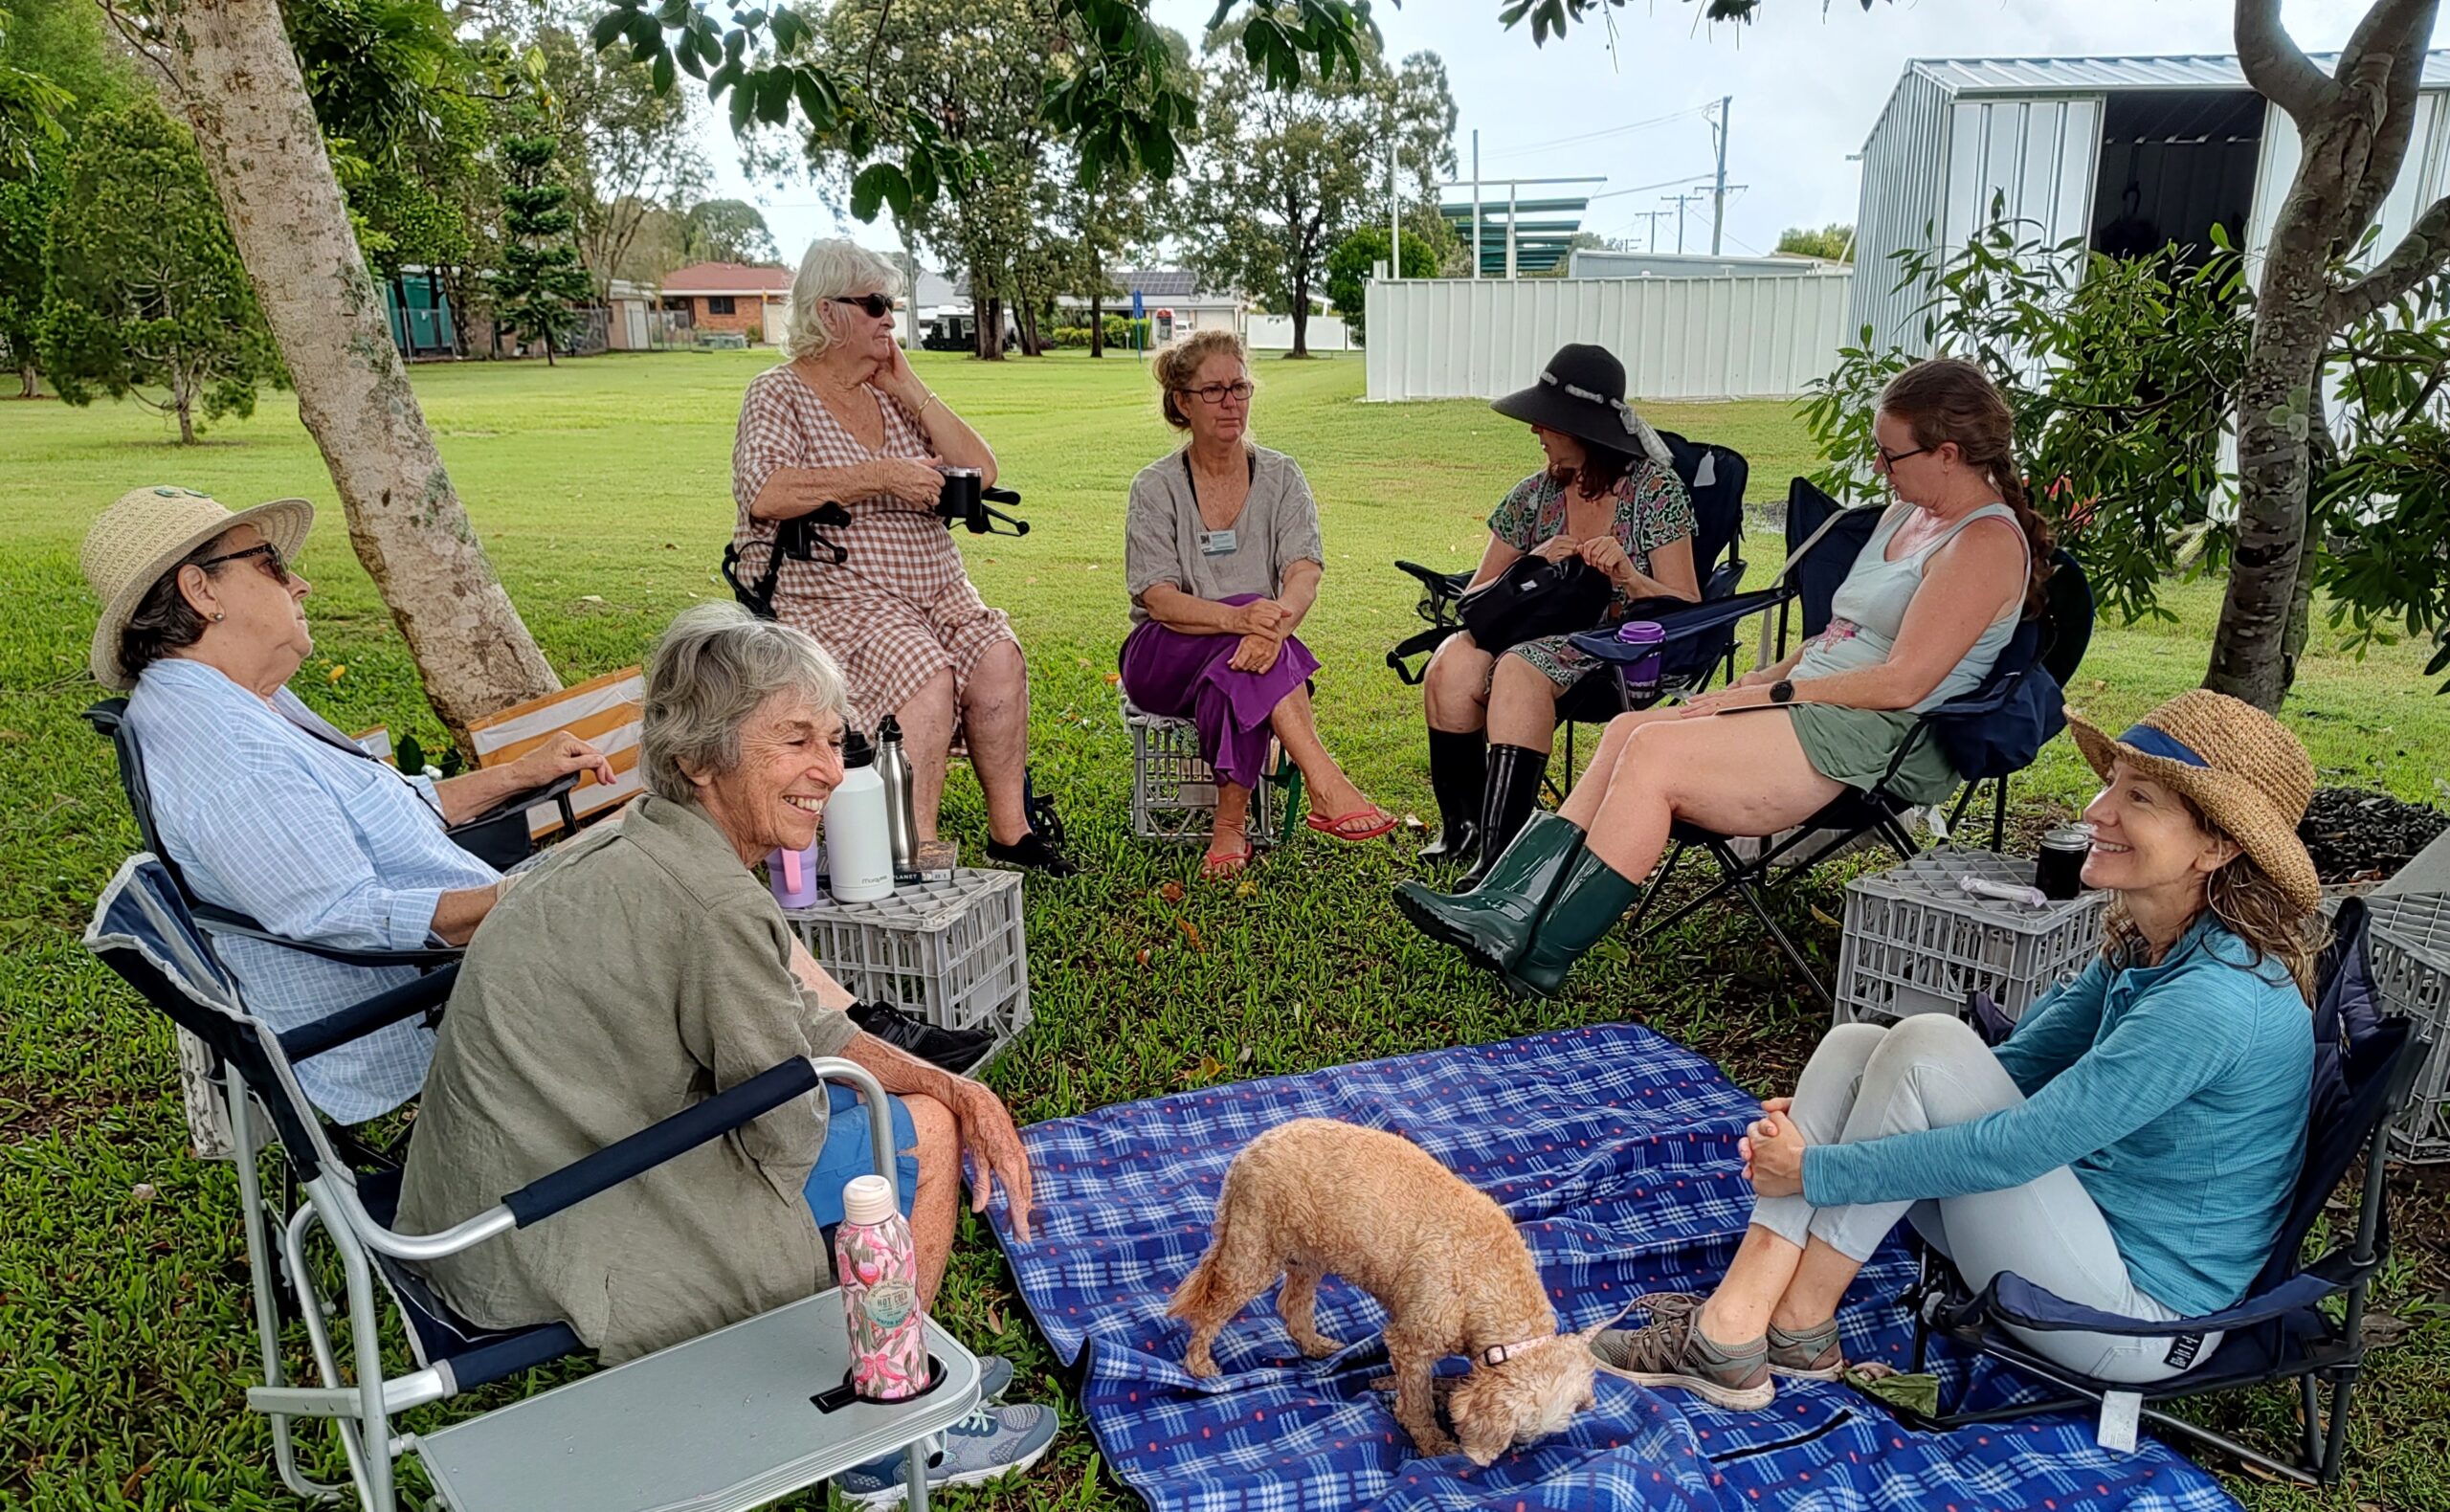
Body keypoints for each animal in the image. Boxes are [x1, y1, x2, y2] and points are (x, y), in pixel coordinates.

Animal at [1167, 1117, 1608, 1465]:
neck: (1491, 1284)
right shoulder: (1412, 1342)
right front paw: (1432, 1444)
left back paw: (1315, 1346)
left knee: (1291, 1305)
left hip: (1310, 1252)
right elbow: (1417, 1403)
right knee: (1212, 1306)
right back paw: (1199, 1364)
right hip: (1254, 1248)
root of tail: (1252, 1147)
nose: (1493, 1460)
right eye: (1515, 1437)